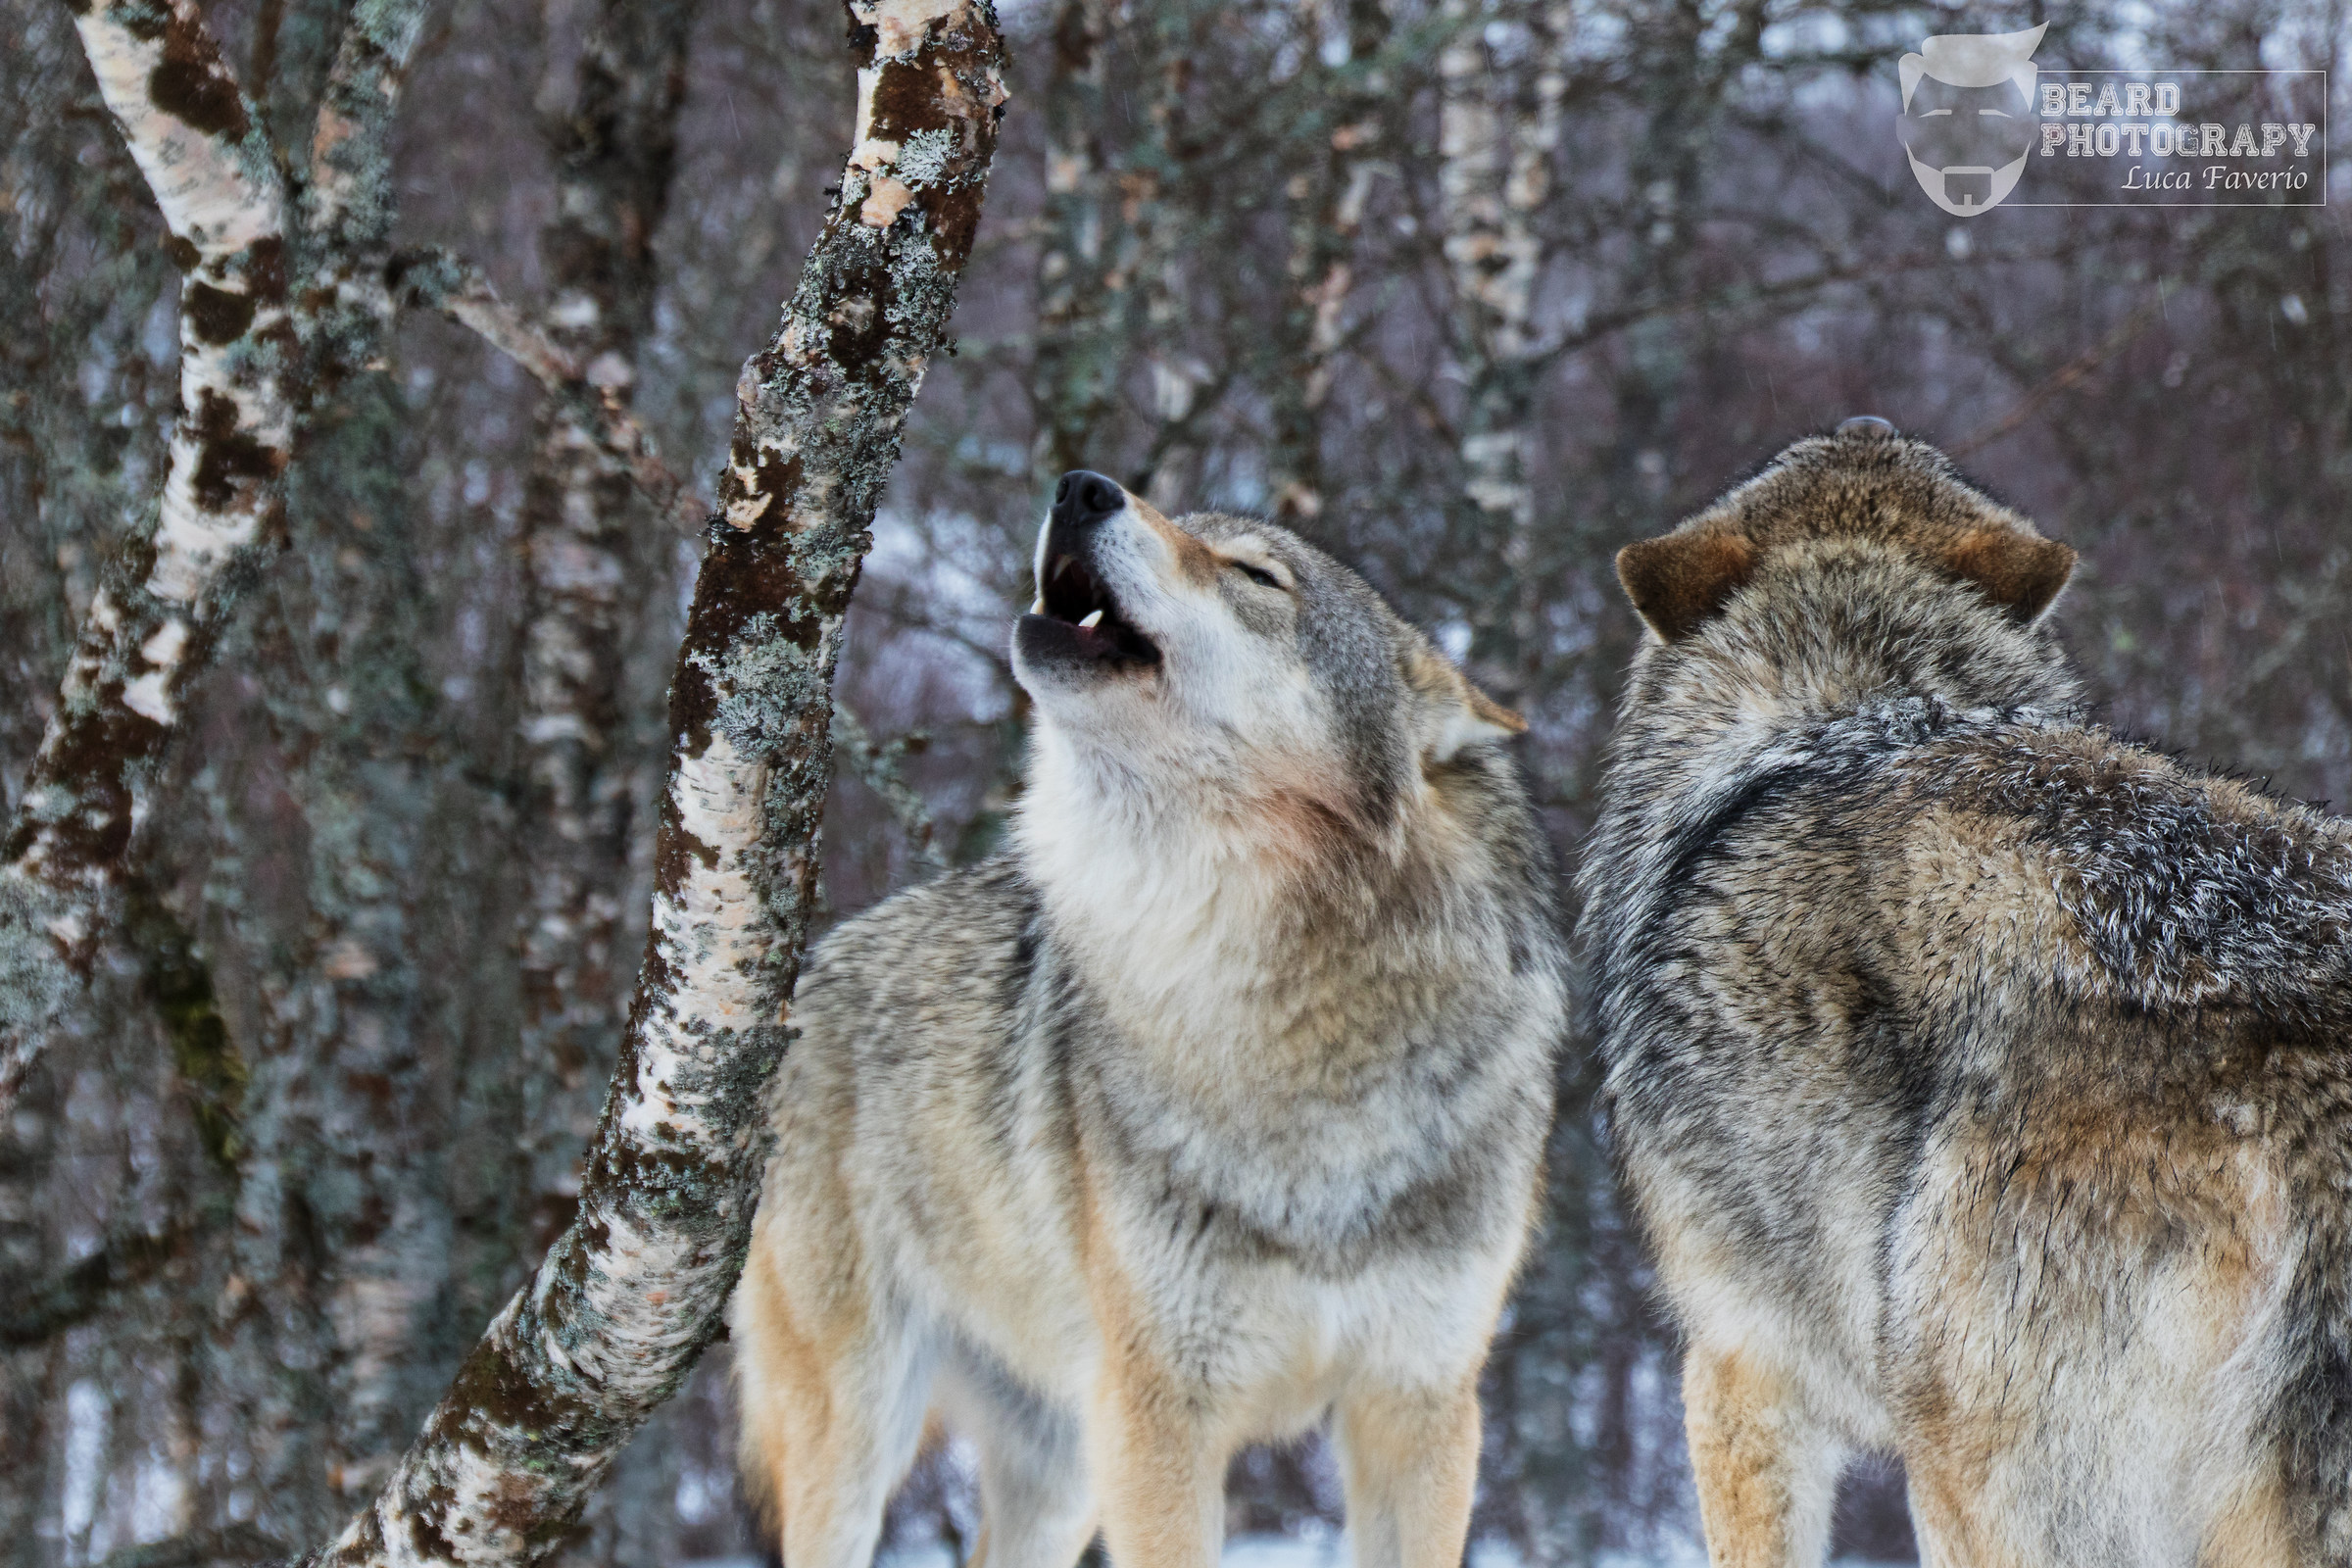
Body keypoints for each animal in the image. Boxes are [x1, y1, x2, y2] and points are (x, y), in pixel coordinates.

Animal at [732, 471, 1566, 1568]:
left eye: (1256, 575)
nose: (1082, 486)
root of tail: (810, 975)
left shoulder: (1420, 1406)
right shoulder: (1164, 1414)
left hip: (1063, 1466)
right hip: (865, 1429)